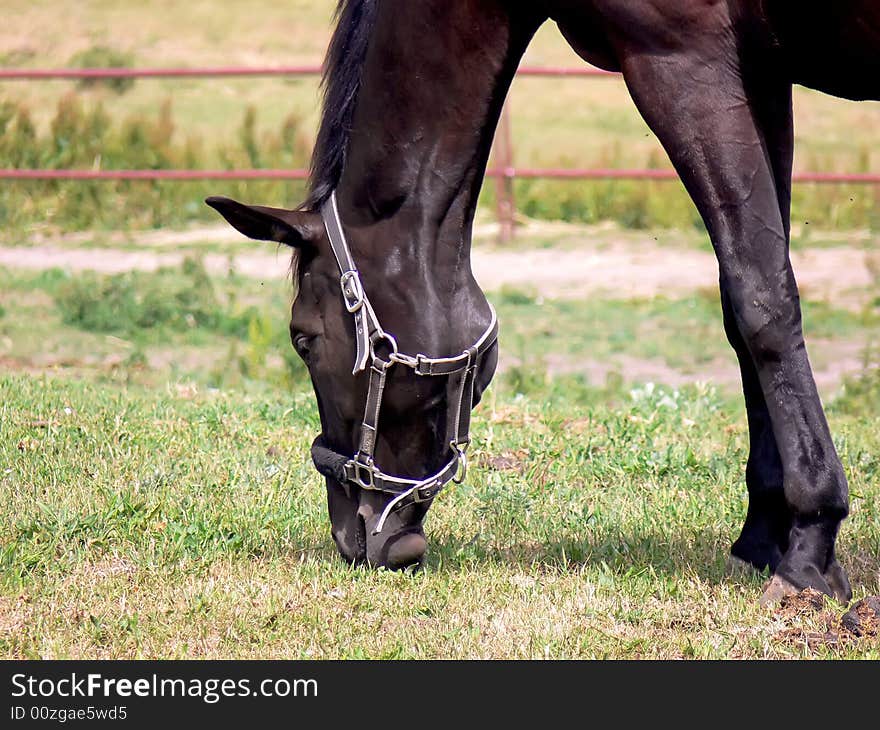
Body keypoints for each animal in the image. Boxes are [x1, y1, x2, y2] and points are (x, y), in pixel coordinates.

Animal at [208, 0, 880, 604]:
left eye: (303, 339)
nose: (353, 536)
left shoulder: (685, 64)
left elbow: (762, 300)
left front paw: (809, 550)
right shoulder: (761, 72)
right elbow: (744, 305)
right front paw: (765, 534)